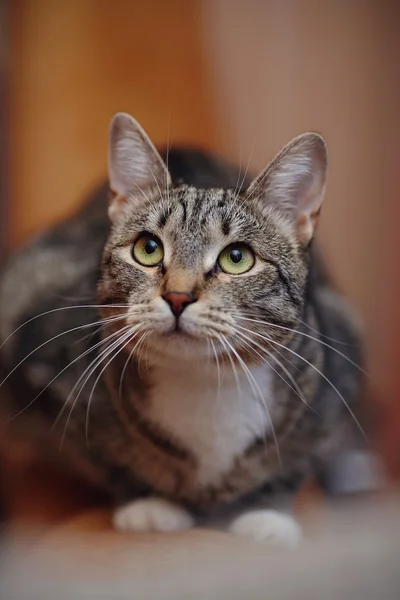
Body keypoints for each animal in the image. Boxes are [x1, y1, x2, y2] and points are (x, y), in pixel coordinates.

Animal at [0, 113, 362, 548]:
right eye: (148, 248)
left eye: (237, 258)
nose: (177, 296)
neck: (202, 384)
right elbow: (107, 458)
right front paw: (148, 504)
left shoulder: (334, 379)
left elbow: (295, 462)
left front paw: (266, 514)